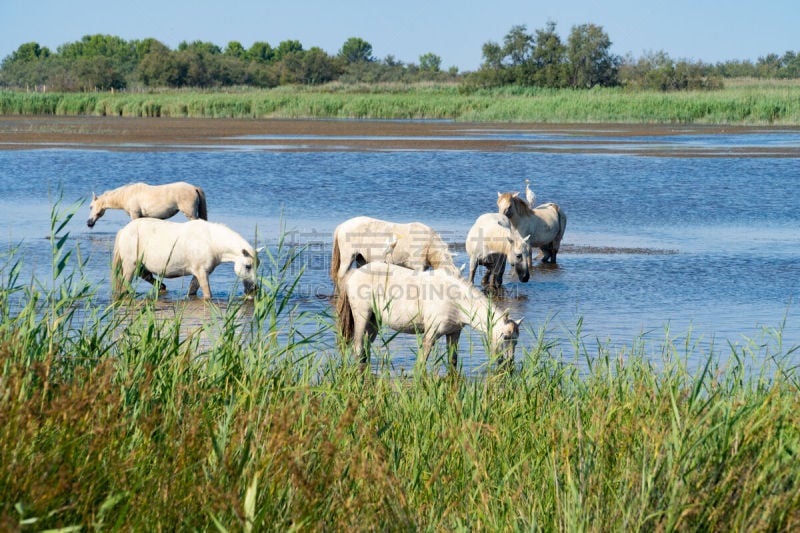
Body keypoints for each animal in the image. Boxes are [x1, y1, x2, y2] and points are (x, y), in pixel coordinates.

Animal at [111, 217, 256, 300]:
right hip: (130, 265)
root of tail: (123, 230)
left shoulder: (201, 273)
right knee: (125, 285)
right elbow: (207, 294)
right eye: (248, 266)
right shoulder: (201, 272)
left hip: (139, 265)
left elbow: (192, 291)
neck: (211, 241)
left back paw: (161, 287)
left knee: (145, 275)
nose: (253, 289)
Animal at [328, 215, 460, 290]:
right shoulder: (417, 266)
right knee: (340, 275)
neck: (429, 244)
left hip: (361, 258)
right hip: (348, 256)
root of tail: (341, 226)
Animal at [334, 262, 520, 370]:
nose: (509, 365)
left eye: (516, 341)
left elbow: (452, 360)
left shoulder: (454, 333)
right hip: (362, 317)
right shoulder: (430, 335)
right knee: (358, 347)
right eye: (505, 337)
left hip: (373, 322)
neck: (455, 298)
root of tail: (355, 273)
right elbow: (422, 362)